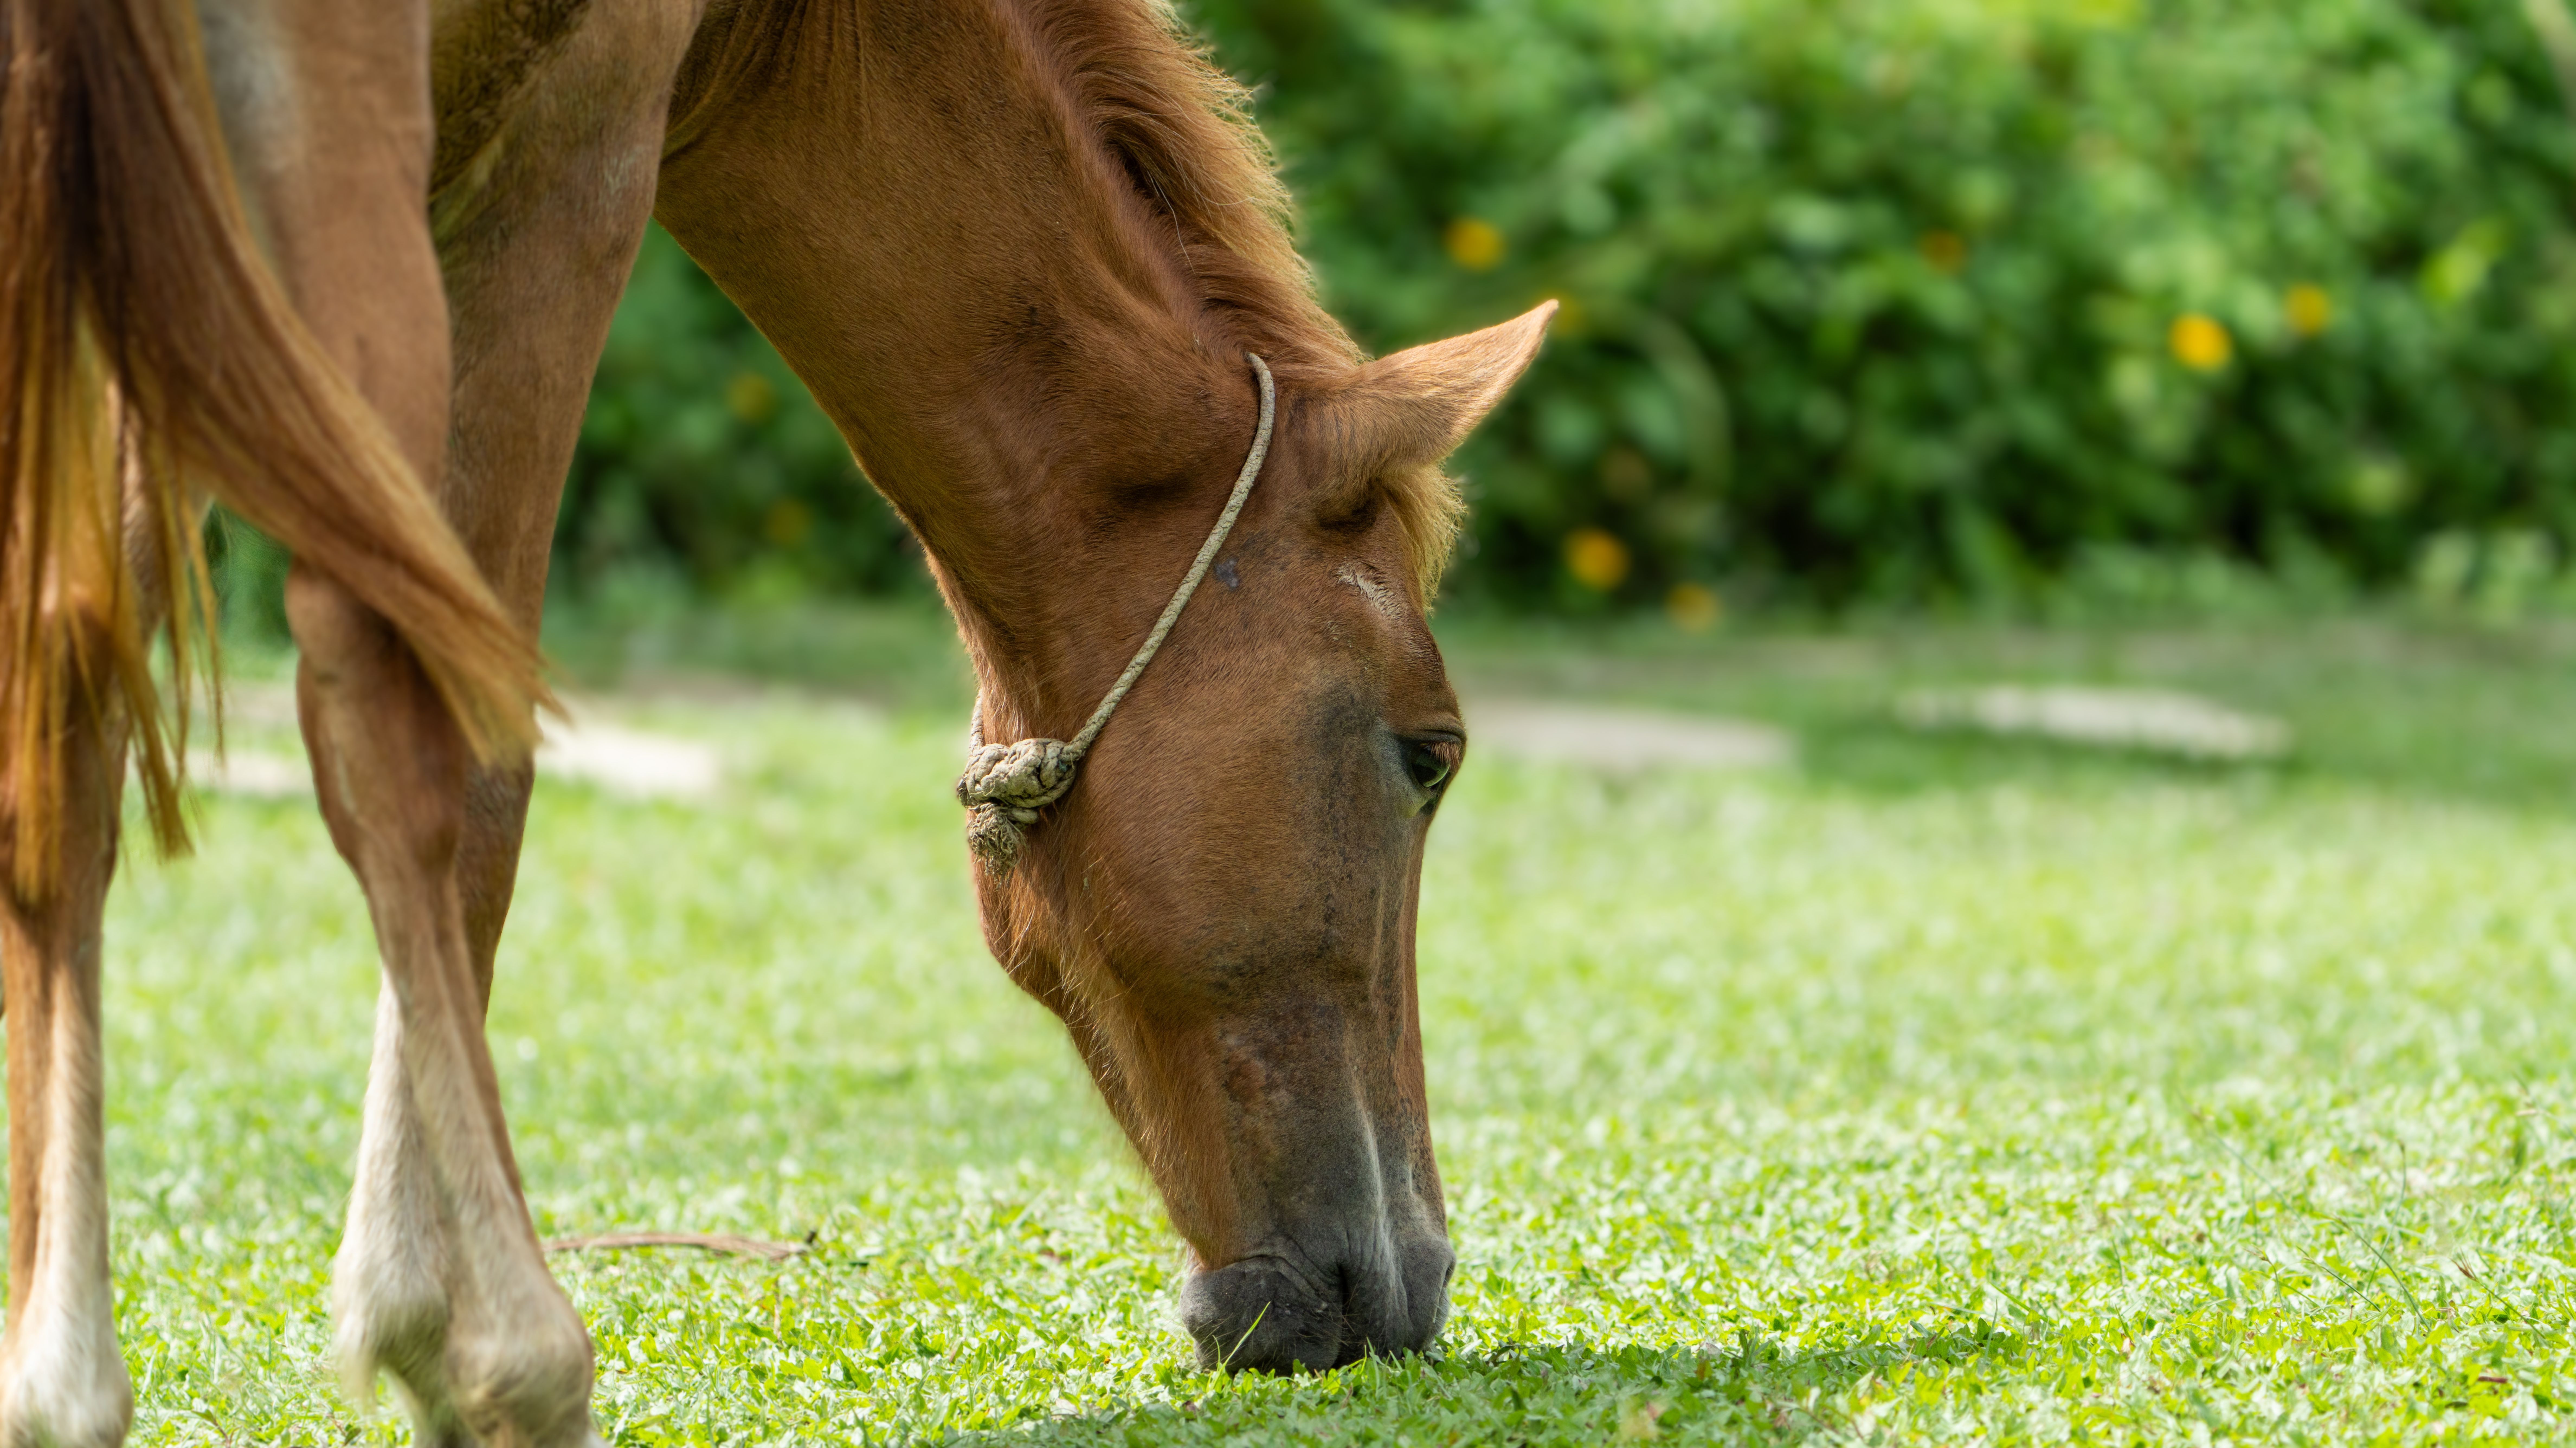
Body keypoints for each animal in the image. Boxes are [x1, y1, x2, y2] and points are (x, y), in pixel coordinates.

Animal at [0, 0, 1551, 1441]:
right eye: (1431, 755)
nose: (1410, 1273)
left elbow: (69, 725)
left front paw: (56, 1373)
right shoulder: (560, 153)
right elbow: (461, 775)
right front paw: (450, 1330)